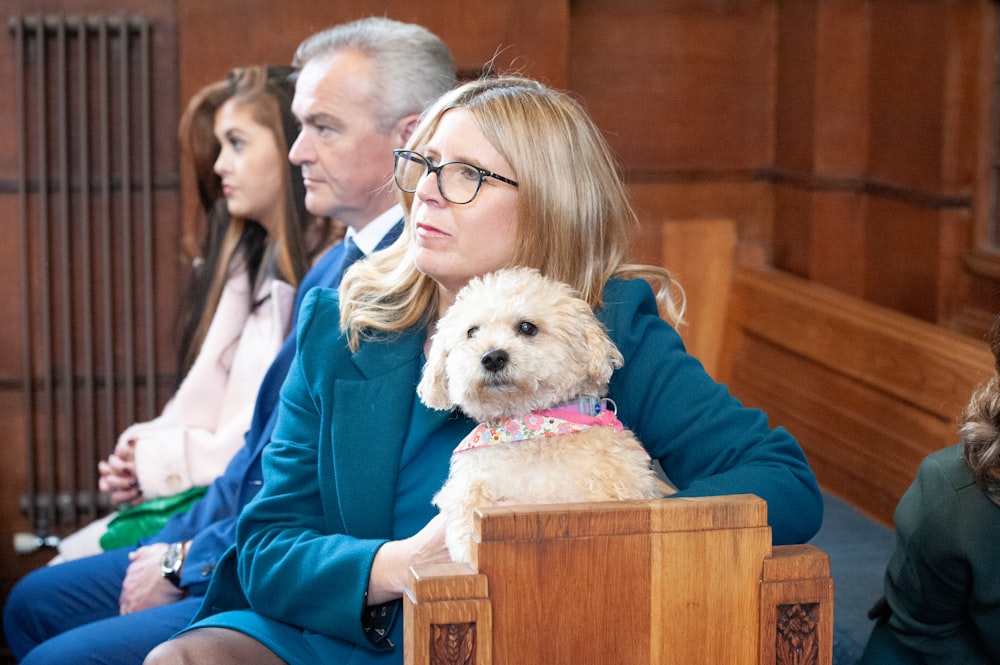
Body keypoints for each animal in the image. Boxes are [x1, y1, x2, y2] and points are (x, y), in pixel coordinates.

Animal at [418, 264, 668, 560]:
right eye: (471, 332)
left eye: (527, 327)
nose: (492, 357)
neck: (532, 427)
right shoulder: (473, 480)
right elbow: (468, 497)